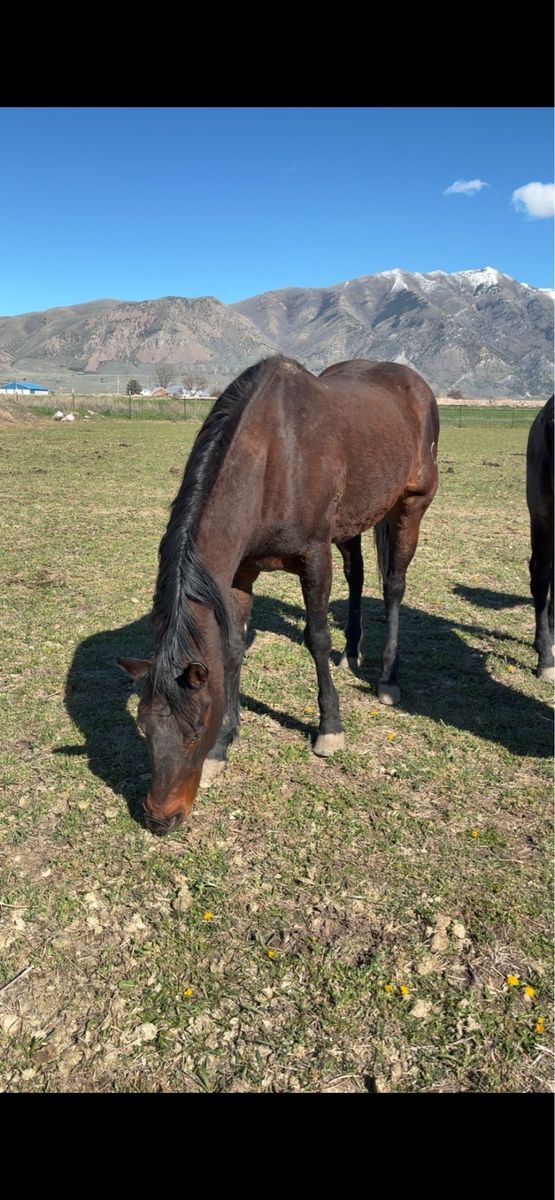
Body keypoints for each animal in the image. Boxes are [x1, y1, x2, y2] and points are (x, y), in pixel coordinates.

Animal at [118, 355, 439, 835]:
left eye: (195, 728)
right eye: (143, 727)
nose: (160, 818)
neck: (273, 456)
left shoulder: (313, 557)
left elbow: (317, 639)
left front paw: (330, 729)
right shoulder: (241, 571)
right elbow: (232, 649)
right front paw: (224, 746)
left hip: (410, 506)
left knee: (393, 586)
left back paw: (387, 678)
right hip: (352, 522)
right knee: (358, 575)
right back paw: (353, 653)